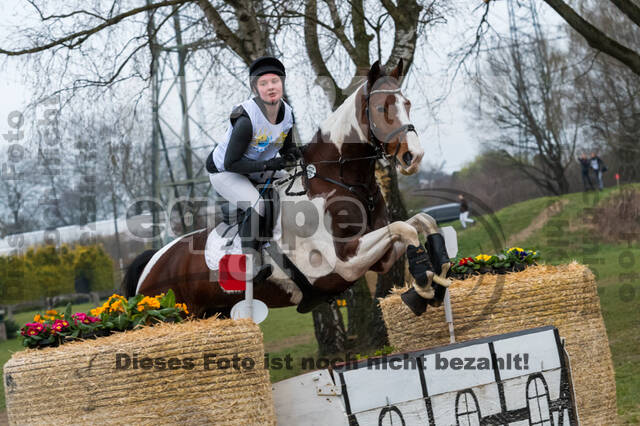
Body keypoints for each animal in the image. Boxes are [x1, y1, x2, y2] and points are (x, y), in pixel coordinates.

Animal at [120, 60, 450, 320]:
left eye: (407, 104)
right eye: (381, 108)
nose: (413, 156)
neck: (338, 180)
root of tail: (153, 261)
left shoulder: (379, 258)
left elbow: (420, 222)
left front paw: (440, 271)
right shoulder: (343, 263)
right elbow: (404, 228)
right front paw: (423, 286)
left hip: (215, 313)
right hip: (172, 312)